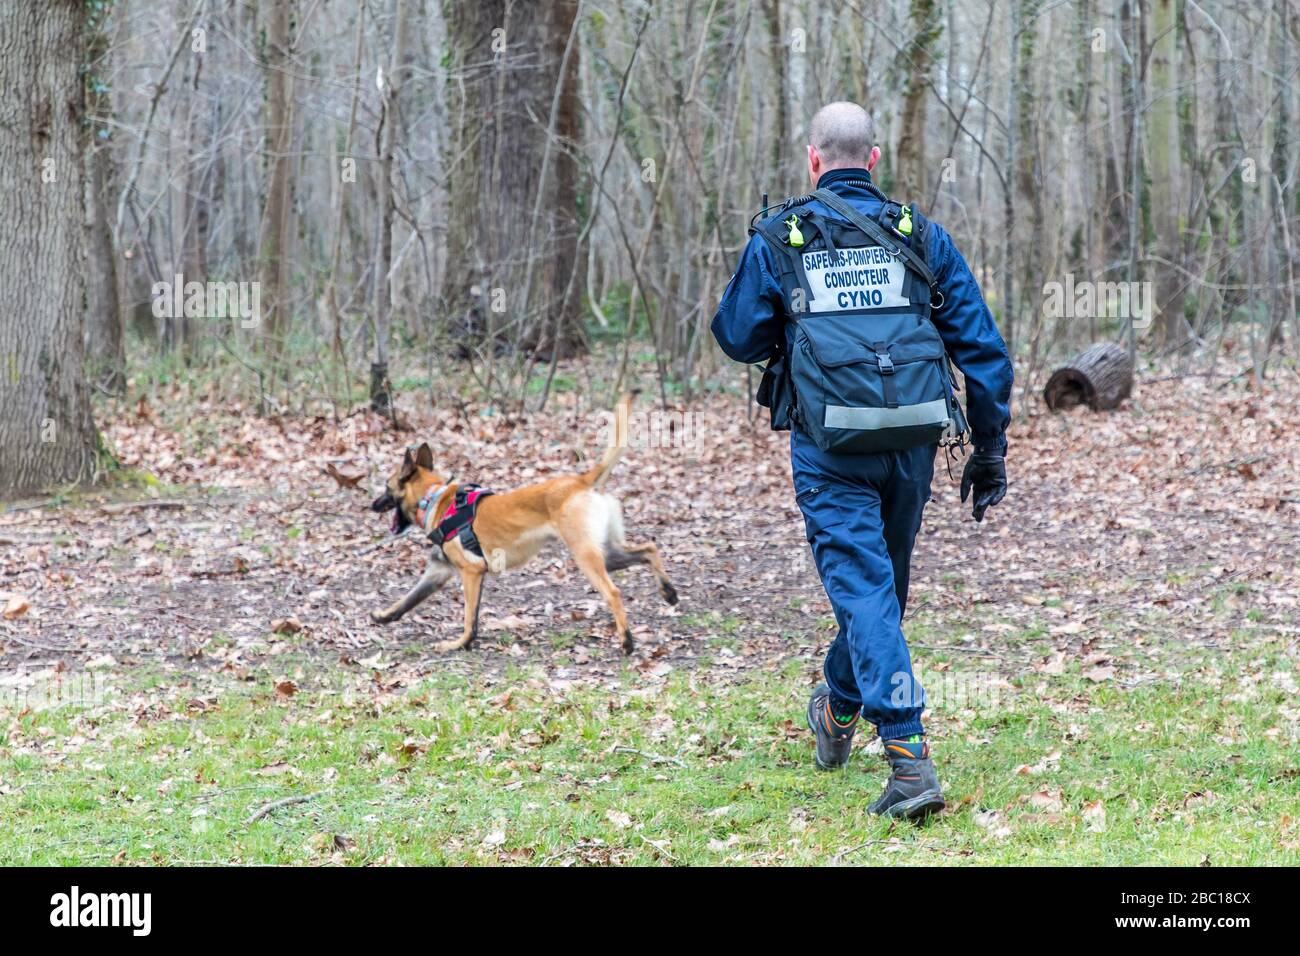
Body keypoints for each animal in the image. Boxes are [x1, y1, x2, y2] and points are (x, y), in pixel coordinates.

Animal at [364, 395, 676, 650]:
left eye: (386, 487)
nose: (372, 505)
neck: (435, 498)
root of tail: (581, 481)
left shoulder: (470, 572)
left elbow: (468, 618)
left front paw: (459, 643)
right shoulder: (439, 572)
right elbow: (408, 599)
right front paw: (384, 616)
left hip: (586, 556)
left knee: (614, 592)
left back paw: (627, 640)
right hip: (607, 554)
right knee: (649, 550)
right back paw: (668, 591)